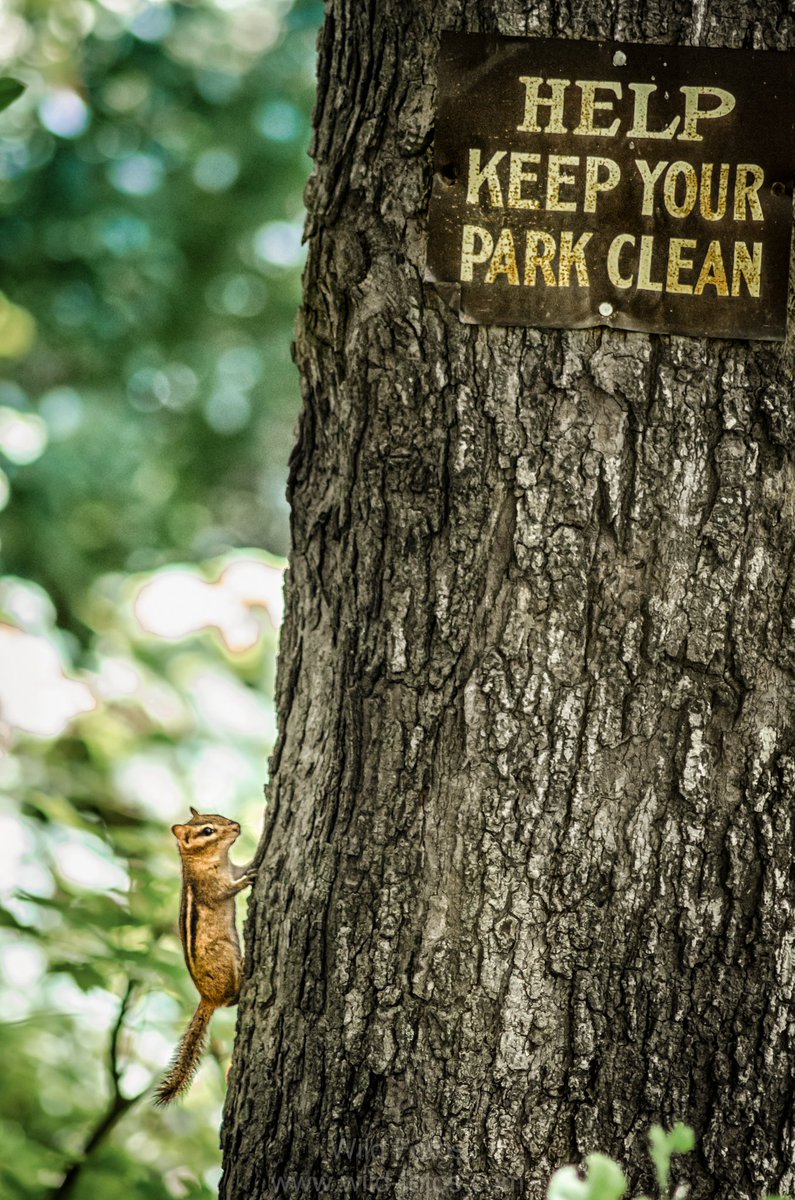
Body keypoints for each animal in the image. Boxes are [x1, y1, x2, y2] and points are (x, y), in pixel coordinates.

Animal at [154, 807, 256, 1106]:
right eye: (208, 831)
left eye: (220, 815)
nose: (236, 826)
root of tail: (206, 998)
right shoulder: (212, 886)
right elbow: (227, 890)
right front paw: (247, 880)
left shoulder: (231, 867)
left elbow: (242, 866)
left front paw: (256, 859)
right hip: (223, 955)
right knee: (231, 998)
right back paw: (243, 968)